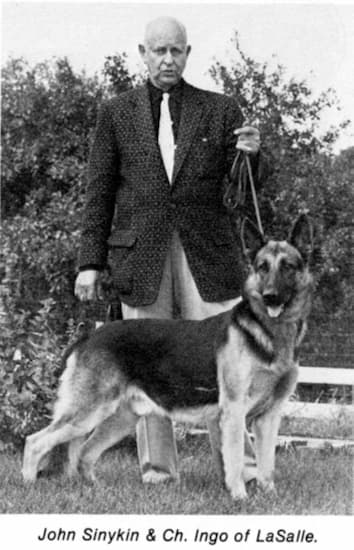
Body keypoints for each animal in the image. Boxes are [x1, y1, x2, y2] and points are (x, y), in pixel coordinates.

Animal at [22, 215, 312, 500]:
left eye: (288, 266)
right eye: (262, 267)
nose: (270, 296)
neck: (270, 330)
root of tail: (88, 336)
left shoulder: (269, 416)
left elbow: (266, 464)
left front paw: (269, 496)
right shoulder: (234, 410)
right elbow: (236, 460)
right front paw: (240, 497)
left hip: (119, 418)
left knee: (84, 453)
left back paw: (95, 489)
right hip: (88, 412)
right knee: (35, 442)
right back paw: (28, 485)